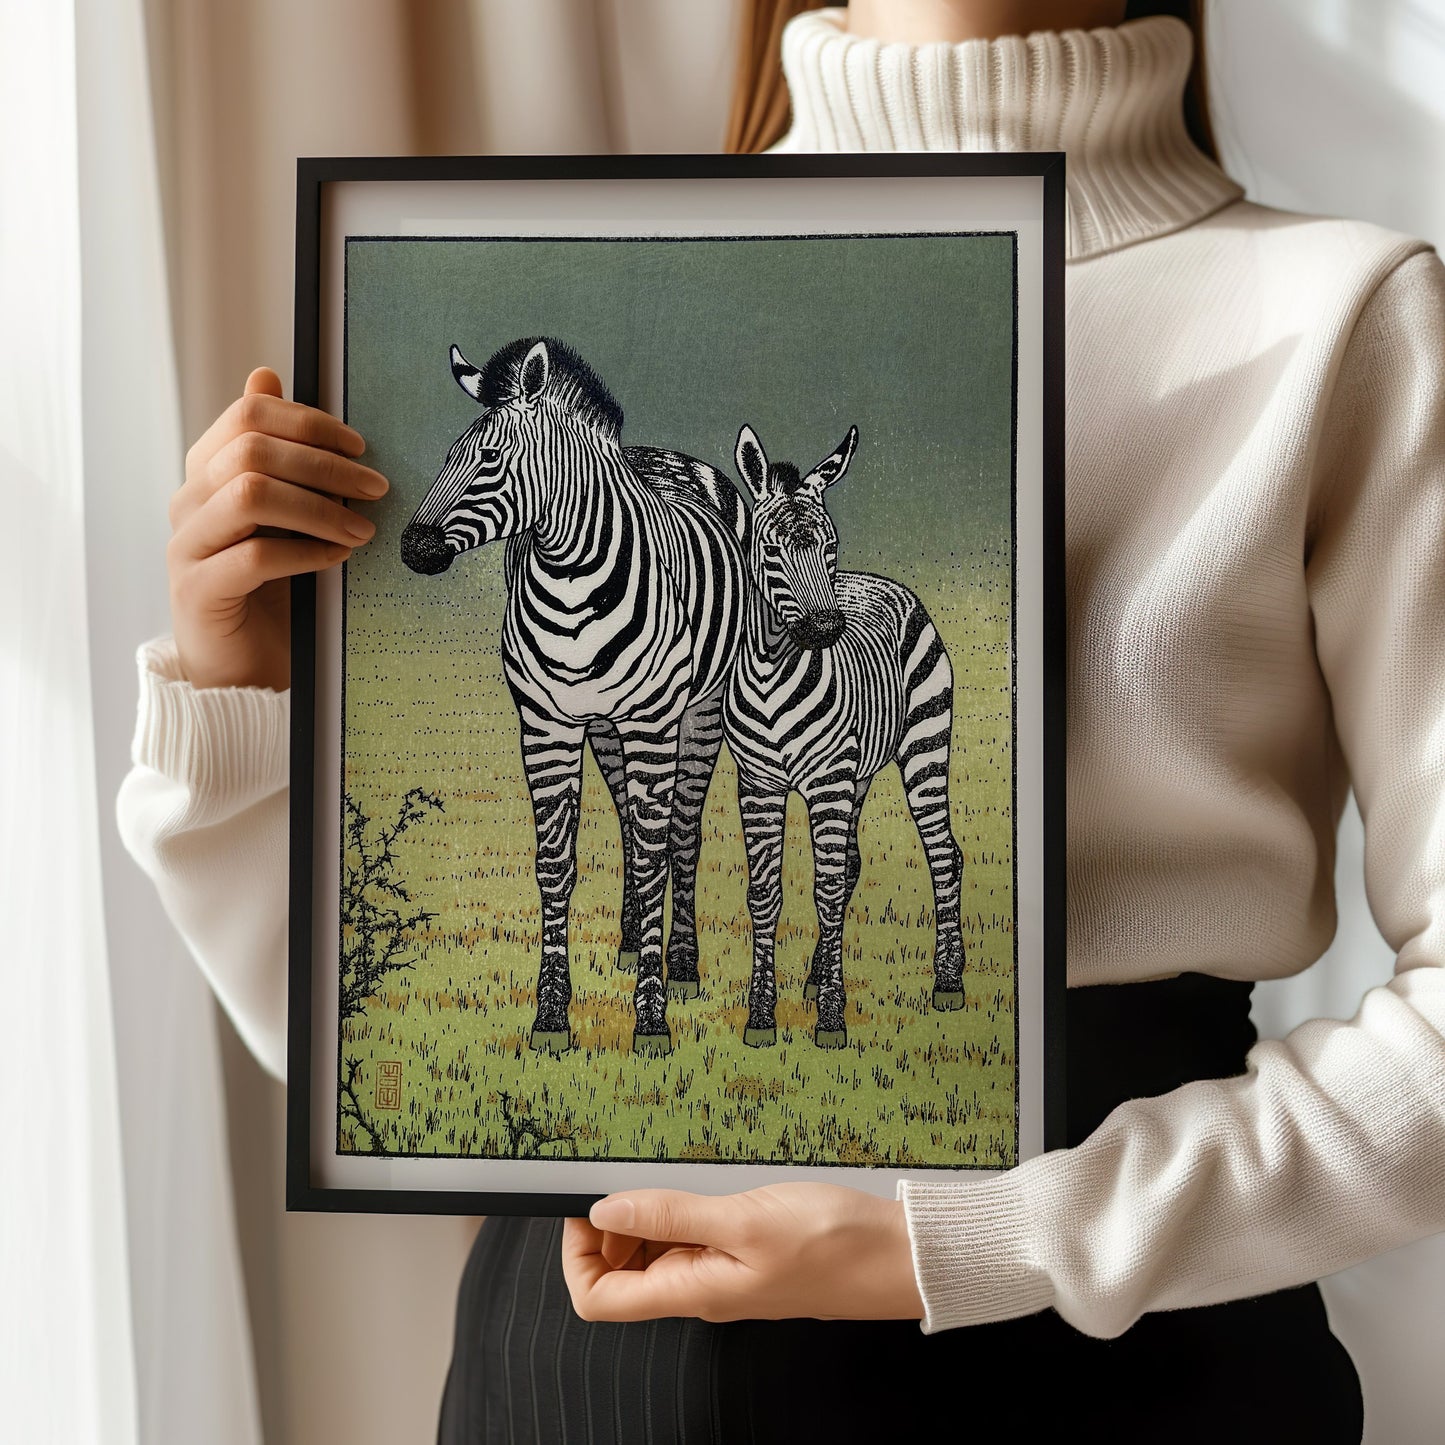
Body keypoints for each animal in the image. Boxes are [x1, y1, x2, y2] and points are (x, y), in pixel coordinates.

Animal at [404, 338, 751, 1063]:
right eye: (449, 454)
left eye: (489, 459)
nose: (412, 548)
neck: (571, 584)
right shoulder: (545, 724)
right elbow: (555, 864)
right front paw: (550, 1013)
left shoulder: (652, 722)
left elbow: (654, 853)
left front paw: (650, 1018)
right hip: (603, 728)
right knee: (628, 823)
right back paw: (630, 940)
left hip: (698, 713)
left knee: (677, 833)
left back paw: (680, 964)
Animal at [722, 421, 971, 1046]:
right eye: (770, 550)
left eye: (829, 546)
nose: (828, 627)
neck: (770, 669)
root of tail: (880, 583)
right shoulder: (757, 785)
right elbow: (765, 894)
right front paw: (762, 1016)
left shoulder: (827, 783)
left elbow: (827, 889)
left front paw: (832, 1019)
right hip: (855, 776)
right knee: (855, 861)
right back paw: (816, 974)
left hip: (923, 748)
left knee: (943, 855)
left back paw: (948, 982)